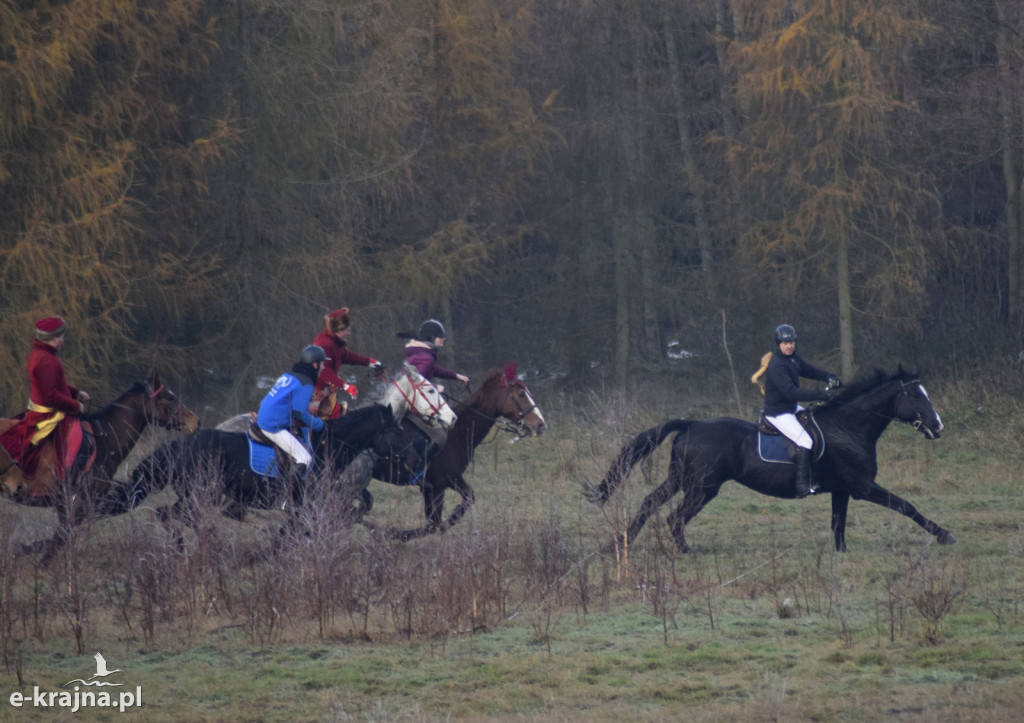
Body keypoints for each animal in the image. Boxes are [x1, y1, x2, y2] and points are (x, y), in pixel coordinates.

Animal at [0, 368, 200, 561]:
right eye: (169, 398)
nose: (195, 421)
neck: (104, 439)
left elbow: (55, 541)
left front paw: (21, 550)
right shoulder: (74, 507)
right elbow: (57, 542)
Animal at [126, 399, 419, 528]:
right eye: (395, 430)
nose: (414, 459)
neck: (328, 447)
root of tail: (178, 446)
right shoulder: (310, 506)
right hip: (200, 495)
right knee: (174, 516)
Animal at [589, 366, 954, 553]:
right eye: (915, 395)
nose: (938, 426)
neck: (850, 426)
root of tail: (692, 424)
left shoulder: (842, 490)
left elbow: (838, 523)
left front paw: (841, 553)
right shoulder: (863, 487)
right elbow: (907, 506)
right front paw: (944, 535)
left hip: (681, 478)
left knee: (650, 502)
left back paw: (621, 542)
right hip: (703, 487)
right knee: (674, 516)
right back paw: (684, 550)